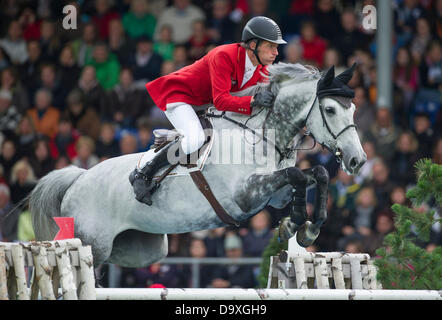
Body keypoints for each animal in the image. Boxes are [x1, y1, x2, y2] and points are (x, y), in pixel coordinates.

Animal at [29, 63, 364, 268]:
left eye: (353, 109)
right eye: (330, 110)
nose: (357, 160)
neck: (262, 134)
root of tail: (78, 179)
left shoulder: (275, 193)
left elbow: (314, 174)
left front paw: (307, 229)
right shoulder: (245, 195)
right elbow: (296, 174)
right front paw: (295, 225)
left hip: (140, 250)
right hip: (93, 243)